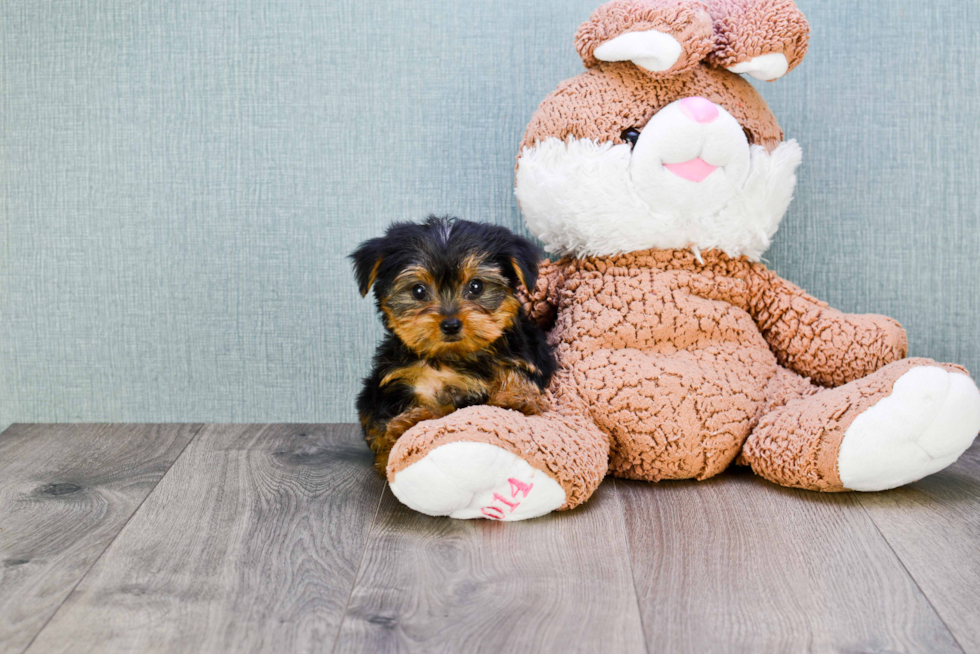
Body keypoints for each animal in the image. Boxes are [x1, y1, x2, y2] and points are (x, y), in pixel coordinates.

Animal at [348, 218, 556, 474]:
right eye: (418, 290)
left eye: (476, 286)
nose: (450, 324)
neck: (455, 356)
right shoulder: (402, 380)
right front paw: (409, 422)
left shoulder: (531, 356)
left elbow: (515, 373)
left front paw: (516, 398)